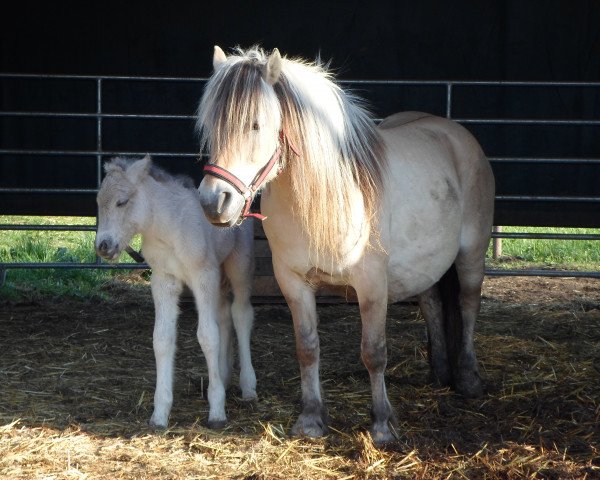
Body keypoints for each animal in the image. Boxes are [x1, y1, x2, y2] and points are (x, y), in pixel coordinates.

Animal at [195, 46, 494, 442]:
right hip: (427, 266)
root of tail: (455, 133)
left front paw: (382, 424)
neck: (328, 193)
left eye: (256, 124)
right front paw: (311, 419)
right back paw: (440, 373)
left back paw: (468, 379)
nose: (214, 202)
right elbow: (307, 348)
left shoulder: (372, 285)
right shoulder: (293, 282)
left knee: (468, 304)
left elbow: (374, 352)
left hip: (471, 255)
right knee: (432, 304)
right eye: (210, 125)